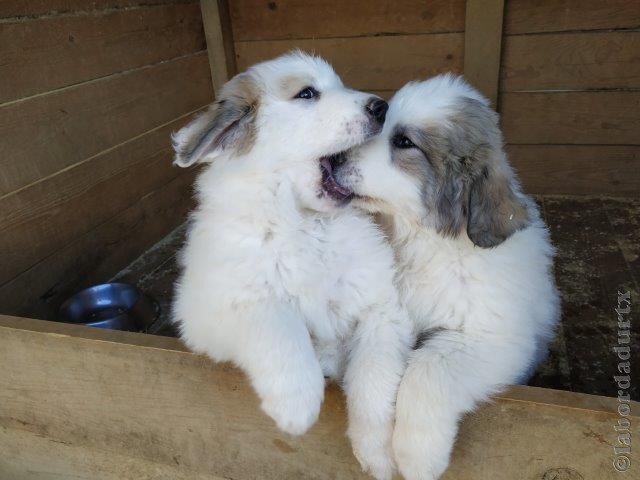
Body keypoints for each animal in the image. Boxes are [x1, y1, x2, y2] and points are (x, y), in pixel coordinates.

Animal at [170, 52, 410, 480]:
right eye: (307, 94)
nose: (380, 107)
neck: (306, 225)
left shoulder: (383, 309)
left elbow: (374, 376)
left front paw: (377, 453)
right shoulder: (206, 310)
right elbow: (277, 320)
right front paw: (297, 404)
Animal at [336, 73, 560, 478]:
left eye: (403, 142)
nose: (333, 158)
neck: (427, 245)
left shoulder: (495, 339)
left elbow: (427, 371)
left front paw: (416, 457)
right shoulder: (388, 314)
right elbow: (370, 371)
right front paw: (374, 449)